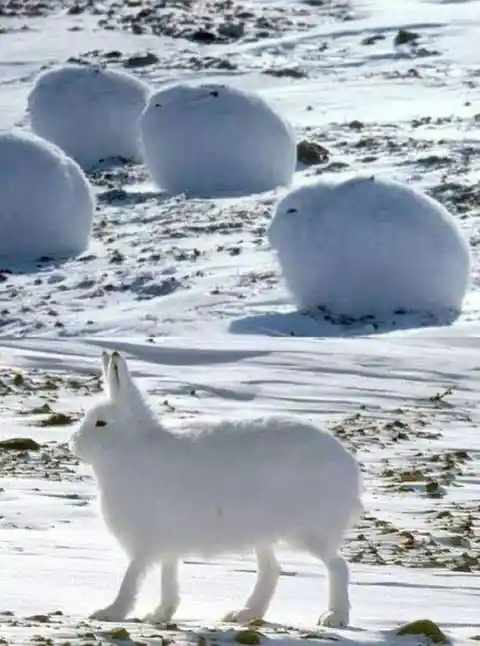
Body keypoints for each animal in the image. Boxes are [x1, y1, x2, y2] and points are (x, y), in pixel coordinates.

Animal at [69, 351, 363, 628]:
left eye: (101, 423)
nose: (73, 443)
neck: (130, 444)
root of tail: (348, 467)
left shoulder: (146, 540)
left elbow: (132, 577)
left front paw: (109, 613)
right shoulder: (167, 545)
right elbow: (168, 578)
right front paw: (159, 615)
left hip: (306, 530)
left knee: (338, 566)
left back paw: (334, 617)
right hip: (262, 534)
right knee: (271, 570)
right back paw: (243, 614)